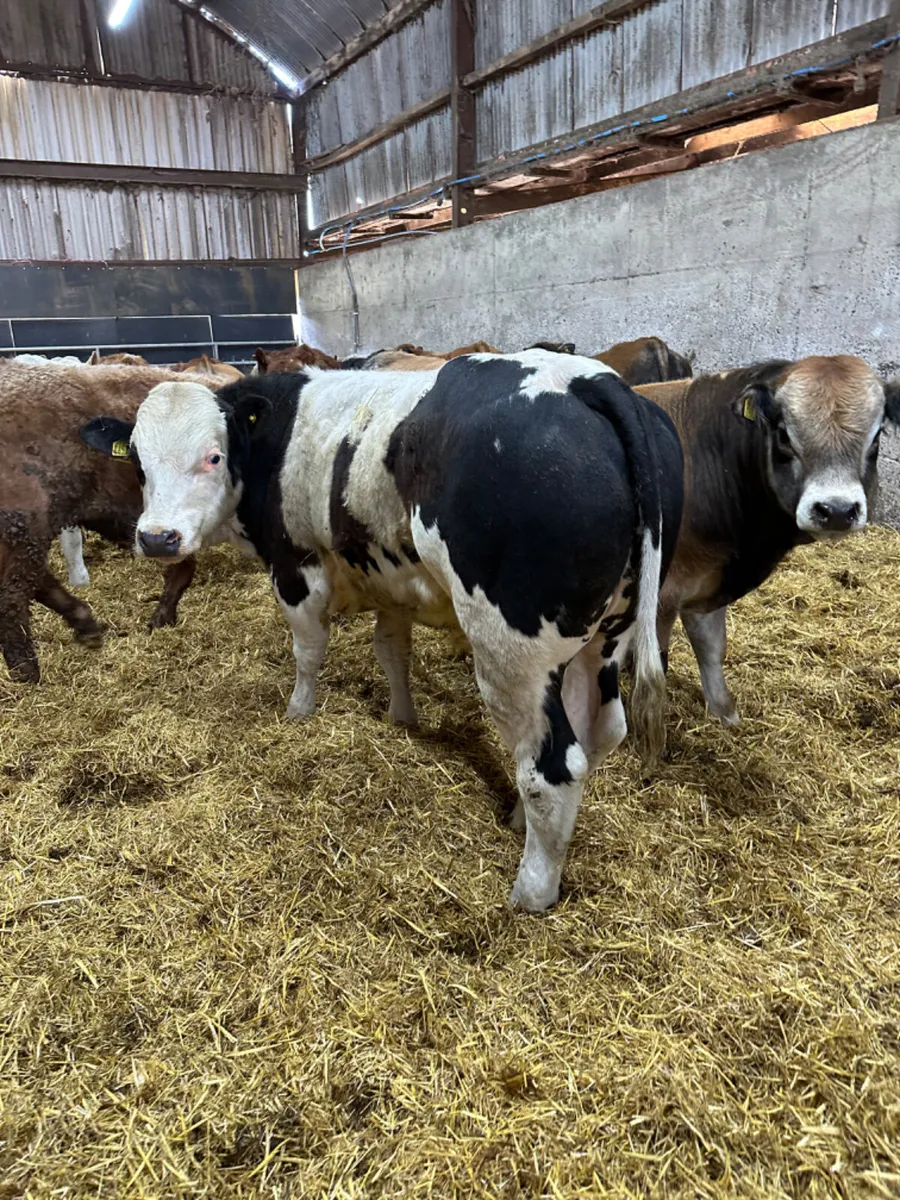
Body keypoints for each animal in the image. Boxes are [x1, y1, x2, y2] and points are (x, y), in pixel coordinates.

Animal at [81, 350, 683, 912]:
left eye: (213, 455)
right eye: (139, 463)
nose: (157, 537)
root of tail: (586, 379)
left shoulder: (296, 566)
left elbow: (308, 651)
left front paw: (299, 712)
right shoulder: (387, 575)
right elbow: (392, 652)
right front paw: (402, 719)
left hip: (514, 653)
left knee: (552, 766)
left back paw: (530, 892)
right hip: (605, 635)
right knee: (598, 730)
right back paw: (519, 818)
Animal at [635, 356, 900, 726]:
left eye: (876, 438)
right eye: (784, 434)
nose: (836, 510)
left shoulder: (706, 585)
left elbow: (712, 647)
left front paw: (726, 717)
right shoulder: (660, 597)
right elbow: (653, 669)